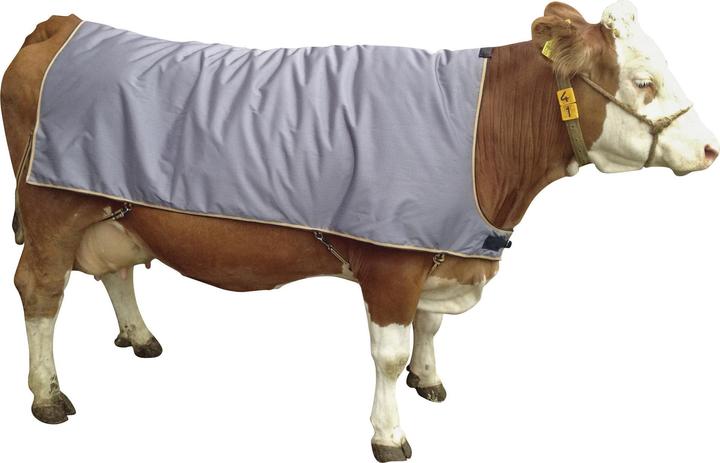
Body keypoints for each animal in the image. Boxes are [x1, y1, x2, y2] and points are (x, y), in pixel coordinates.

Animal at [1, 1, 717, 461]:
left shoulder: (437, 247)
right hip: (51, 209)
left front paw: (429, 381)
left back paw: (140, 335)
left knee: (115, 267)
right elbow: (389, 353)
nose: (710, 148)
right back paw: (48, 395)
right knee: (40, 291)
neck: (484, 134)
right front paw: (389, 435)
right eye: (644, 81)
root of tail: (61, 24)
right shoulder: (391, 262)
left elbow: (430, 328)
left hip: (112, 205)